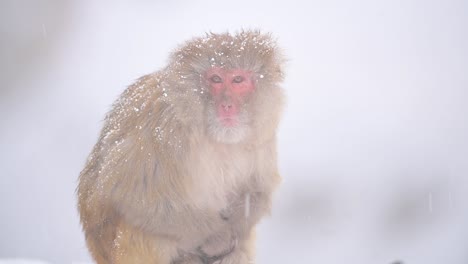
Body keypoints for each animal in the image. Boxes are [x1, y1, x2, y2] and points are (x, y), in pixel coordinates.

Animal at [77, 29, 286, 262]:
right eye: (216, 79)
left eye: (238, 80)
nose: (227, 105)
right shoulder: (166, 130)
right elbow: (128, 195)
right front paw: (216, 236)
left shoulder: (262, 137)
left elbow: (257, 189)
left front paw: (235, 228)